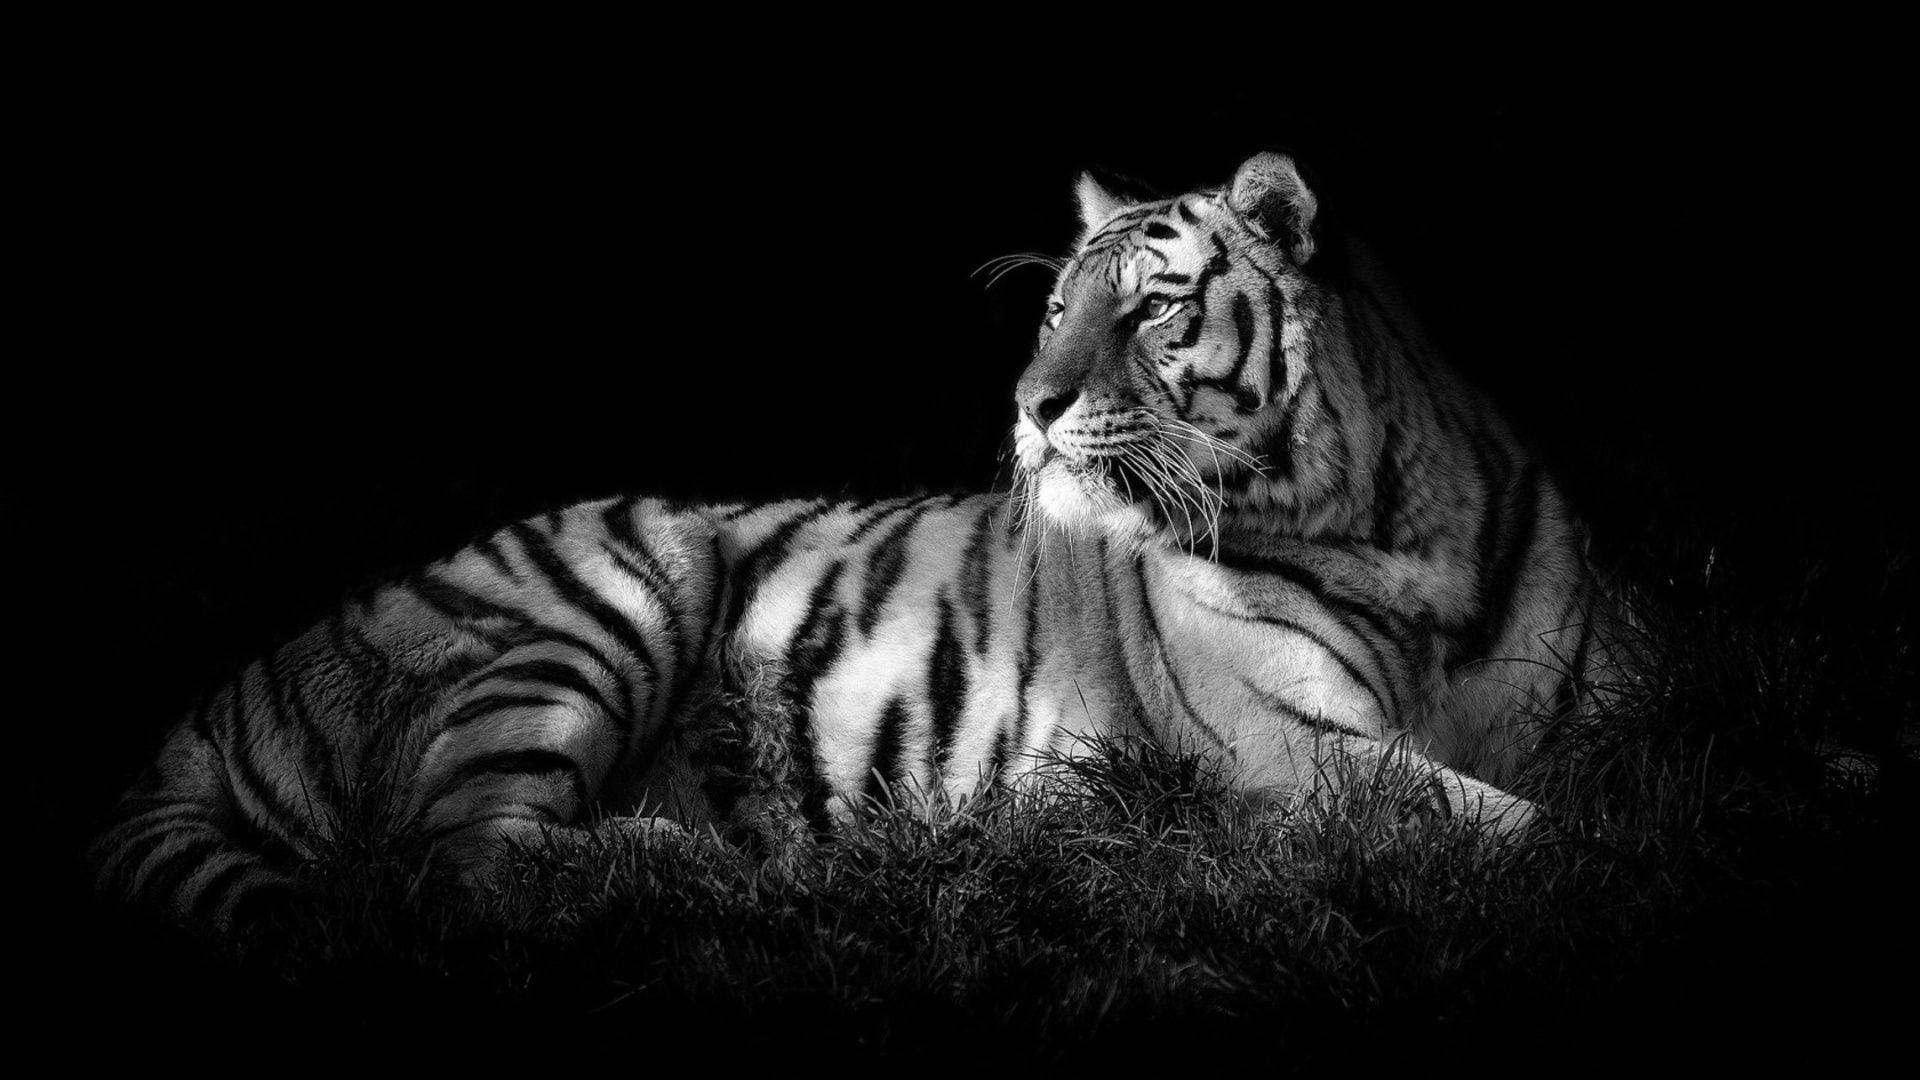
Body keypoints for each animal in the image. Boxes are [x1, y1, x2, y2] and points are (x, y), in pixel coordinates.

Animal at [93, 153, 1620, 933]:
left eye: (1150, 308)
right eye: (1052, 309)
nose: (1028, 408)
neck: (1392, 532)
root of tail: (229, 694)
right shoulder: (1290, 745)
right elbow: (1506, 830)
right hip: (599, 598)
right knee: (454, 861)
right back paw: (724, 874)